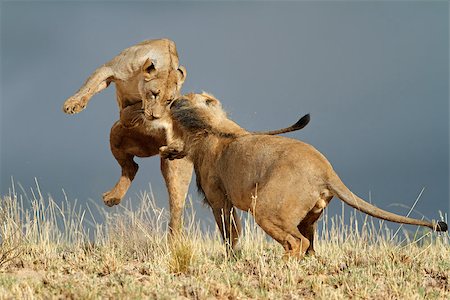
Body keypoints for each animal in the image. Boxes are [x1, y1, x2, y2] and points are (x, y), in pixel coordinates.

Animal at [61, 38, 310, 234]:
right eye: (154, 93)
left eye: (169, 100)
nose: (156, 115)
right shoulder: (109, 69)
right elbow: (90, 85)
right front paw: (73, 104)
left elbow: (130, 109)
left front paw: (132, 114)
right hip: (118, 138)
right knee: (132, 167)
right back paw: (116, 195)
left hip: (169, 167)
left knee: (169, 201)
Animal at [161, 92, 446, 256]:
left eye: (184, 98)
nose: (171, 101)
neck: (207, 126)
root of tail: (326, 171)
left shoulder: (219, 199)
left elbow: (229, 233)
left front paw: (231, 258)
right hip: (307, 216)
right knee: (310, 245)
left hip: (266, 209)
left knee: (298, 243)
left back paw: (281, 265)